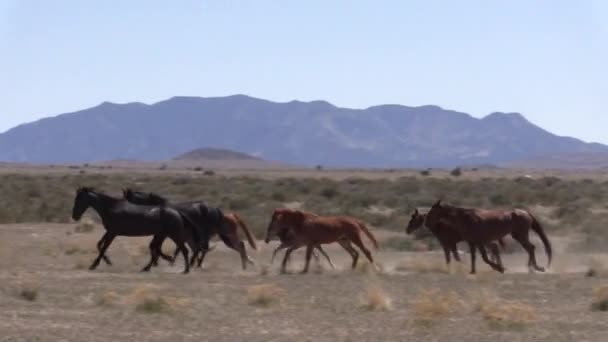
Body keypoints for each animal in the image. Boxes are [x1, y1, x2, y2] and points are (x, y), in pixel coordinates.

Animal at [72, 186, 200, 274]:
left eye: (79, 199)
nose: (75, 216)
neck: (110, 207)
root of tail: (177, 212)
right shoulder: (109, 232)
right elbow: (99, 244)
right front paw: (108, 262)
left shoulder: (112, 233)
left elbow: (103, 247)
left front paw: (94, 265)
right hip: (162, 235)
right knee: (158, 249)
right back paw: (149, 267)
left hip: (173, 235)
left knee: (184, 250)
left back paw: (185, 269)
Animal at [122, 188, 258, 268]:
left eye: (127, 199)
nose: (124, 211)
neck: (158, 208)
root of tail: (217, 211)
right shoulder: (163, 234)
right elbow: (157, 246)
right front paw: (160, 261)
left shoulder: (163, 234)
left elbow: (156, 247)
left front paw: (166, 260)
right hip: (223, 236)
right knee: (235, 246)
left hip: (210, 234)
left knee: (205, 248)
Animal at [422, 202, 552, 274]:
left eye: (432, 210)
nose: (426, 223)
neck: (464, 218)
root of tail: (526, 212)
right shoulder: (472, 242)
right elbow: (474, 257)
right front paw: (472, 271)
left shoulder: (479, 242)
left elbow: (485, 258)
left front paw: (500, 268)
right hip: (518, 235)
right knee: (530, 248)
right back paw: (533, 268)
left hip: (520, 235)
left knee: (531, 248)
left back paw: (535, 268)